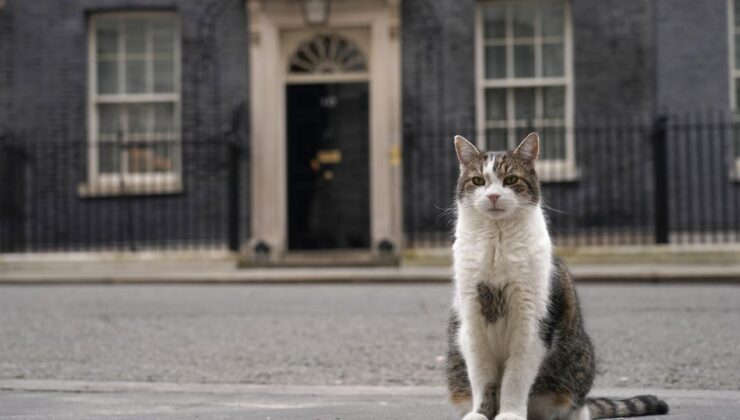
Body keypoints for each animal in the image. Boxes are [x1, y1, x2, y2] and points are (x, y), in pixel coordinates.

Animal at [446, 134, 672, 420]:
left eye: (511, 180)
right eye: (478, 181)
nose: (494, 195)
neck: (497, 243)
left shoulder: (531, 322)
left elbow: (515, 377)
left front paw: (510, 414)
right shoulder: (472, 323)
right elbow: (482, 378)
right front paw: (480, 413)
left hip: (575, 372)